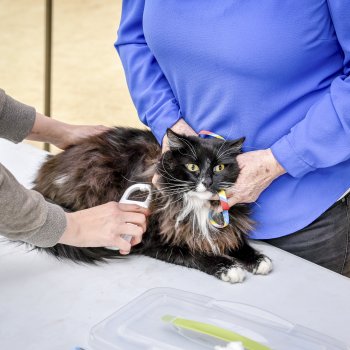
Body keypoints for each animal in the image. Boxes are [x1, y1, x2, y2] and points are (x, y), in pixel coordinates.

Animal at [31, 127, 272, 284]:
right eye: (192, 167)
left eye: (219, 167)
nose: (207, 181)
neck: (197, 206)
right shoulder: (154, 240)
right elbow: (195, 253)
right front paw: (229, 267)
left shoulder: (226, 225)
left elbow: (235, 240)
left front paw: (258, 259)